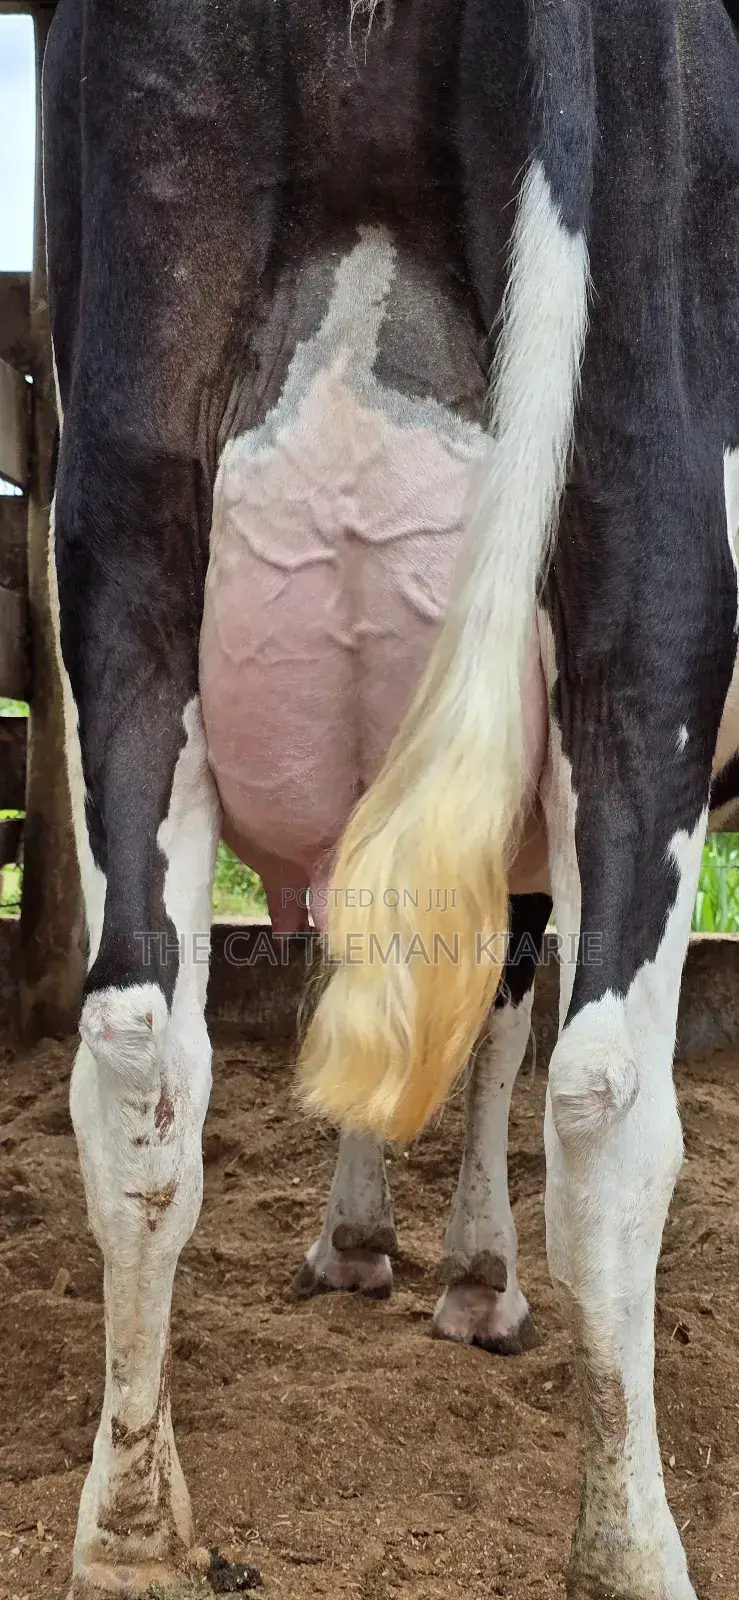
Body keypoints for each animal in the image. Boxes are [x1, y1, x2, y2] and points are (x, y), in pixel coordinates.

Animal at [43, 0, 739, 1595]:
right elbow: (492, 1021)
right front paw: (464, 1272)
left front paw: (359, 1240)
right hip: (647, 579)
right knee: (604, 1095)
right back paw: (628, 1545)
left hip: (121, 543)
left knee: (138, 1058)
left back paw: (129, 1528)